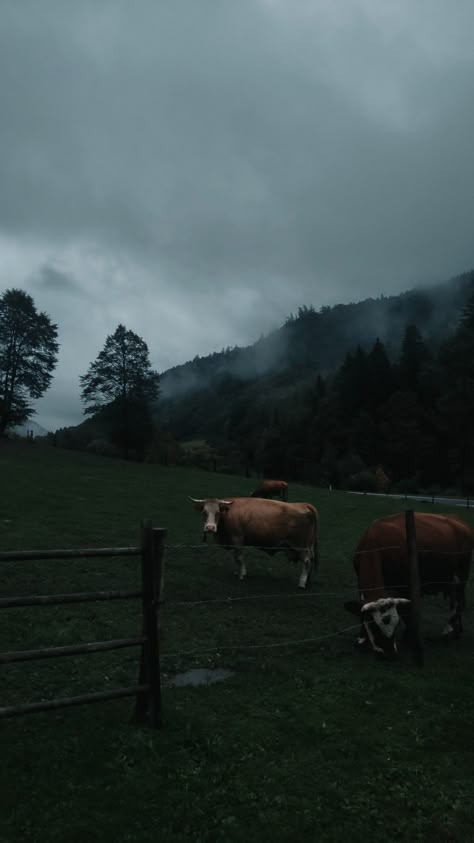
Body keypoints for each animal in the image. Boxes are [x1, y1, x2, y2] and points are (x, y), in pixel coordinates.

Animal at [189, 494, 318, 588]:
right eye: (204, 512)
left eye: (218, 512)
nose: (210, 528)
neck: (228, 513)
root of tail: (304, 505)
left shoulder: (237, 539)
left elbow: (239, 558)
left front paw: (242, 575)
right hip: (308, 546)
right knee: (311, 559)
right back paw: (308, 581)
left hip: (300, 546)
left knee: (307, 561)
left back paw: (302, 583)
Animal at [344, 508, 474, 660]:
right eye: (375, 626)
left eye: (395, 624)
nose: (390, 654)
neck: (375, 540)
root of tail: (457, 520)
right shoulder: (360, 581)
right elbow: (361, 608)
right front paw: (361, 639)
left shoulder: (405, 586)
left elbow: (407, 612)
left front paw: (408, 637)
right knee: (457, 600)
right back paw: (458, 630)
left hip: (461, 573)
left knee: (458, 602)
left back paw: (447, 632)